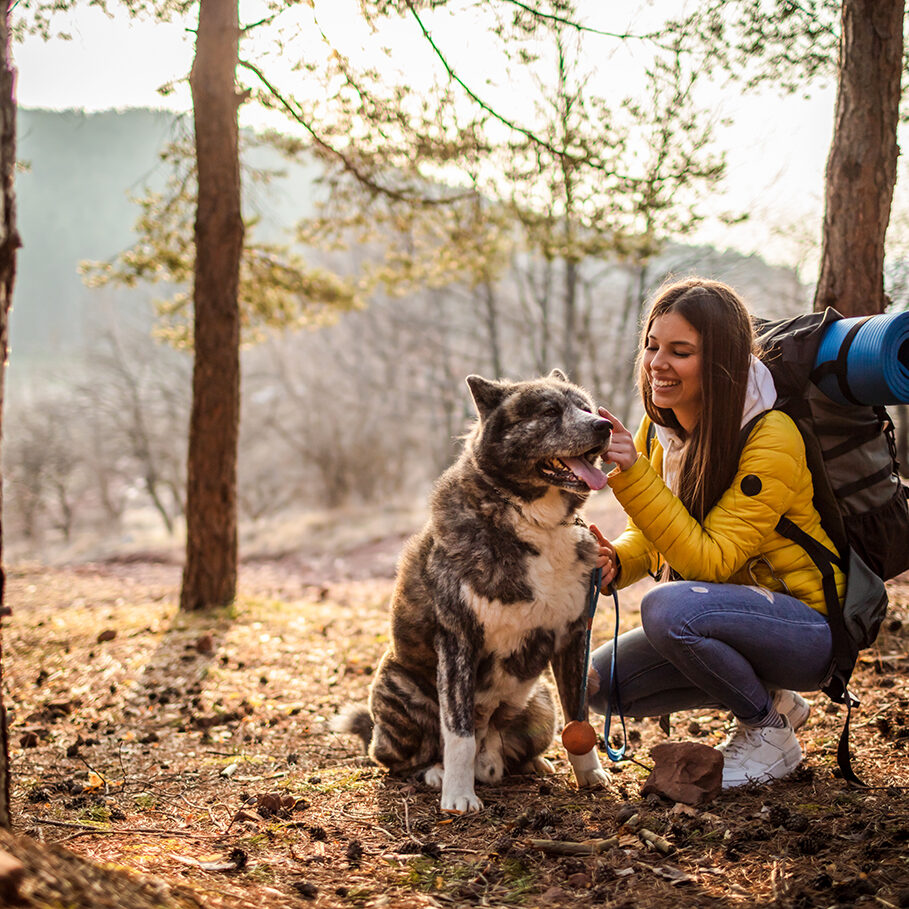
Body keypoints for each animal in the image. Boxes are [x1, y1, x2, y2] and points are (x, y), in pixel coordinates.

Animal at [336, 368, 612, 808]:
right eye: (549, 411)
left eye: (586, 407)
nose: (604, 426)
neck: (532, 521)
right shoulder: (458, 642)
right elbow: (458, 733)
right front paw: (458, 795)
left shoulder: (573, 638)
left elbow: (578, 718)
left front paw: (589, 774)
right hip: (399, 689)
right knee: (399, 759)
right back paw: (435, 773)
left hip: (540, 703)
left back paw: (532, 764)